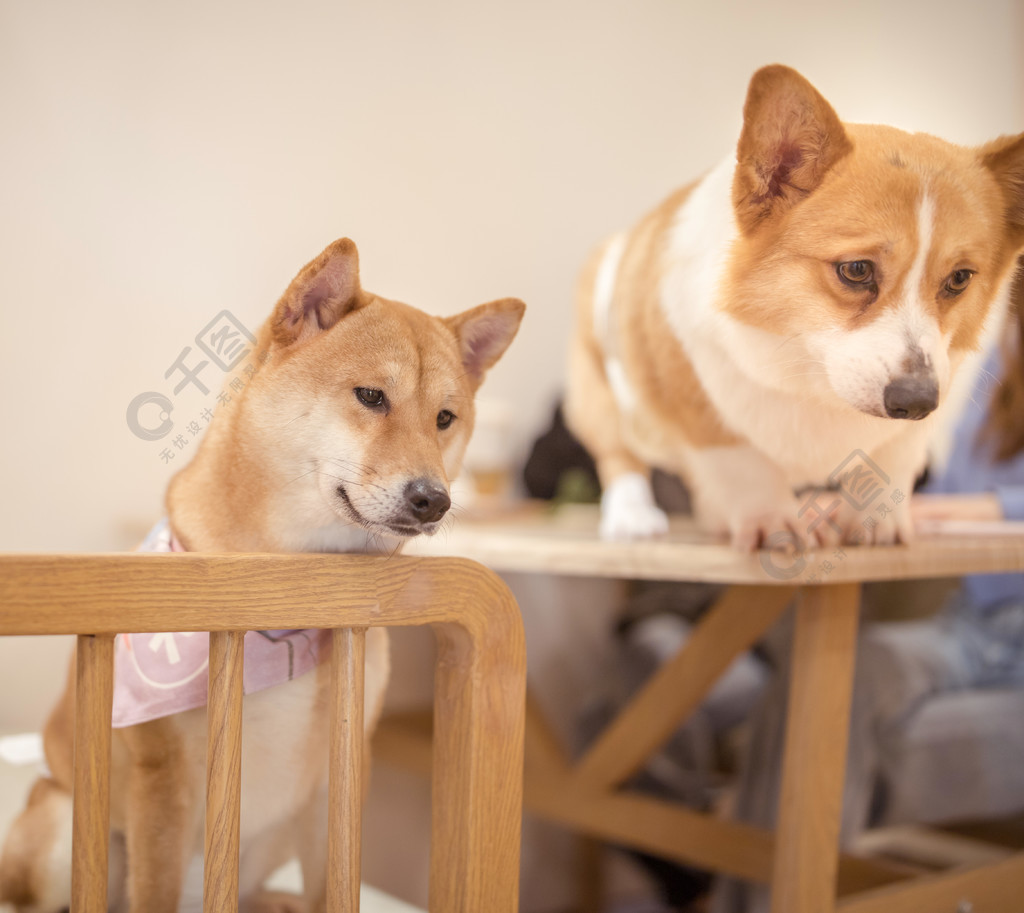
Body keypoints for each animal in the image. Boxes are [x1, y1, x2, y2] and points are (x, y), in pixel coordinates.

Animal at [0, 238, 524, 908]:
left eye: (444, 419)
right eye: (371, 397)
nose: (434, 499)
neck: (286, 596)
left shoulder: (338, 775)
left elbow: (336, 886)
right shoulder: (159, 784)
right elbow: (154, 889)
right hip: (63, 828)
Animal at [565, 66, 1024, 548]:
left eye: (959, 279)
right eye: (856, 270)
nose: (916, 401)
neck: (811, 372)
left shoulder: (925, 406)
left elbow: (893, 459)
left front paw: (876, 524)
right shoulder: (702, 412)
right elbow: (744, 466)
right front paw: (773, 524)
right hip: (606, 403)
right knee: (620, 455)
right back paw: (632, 516)